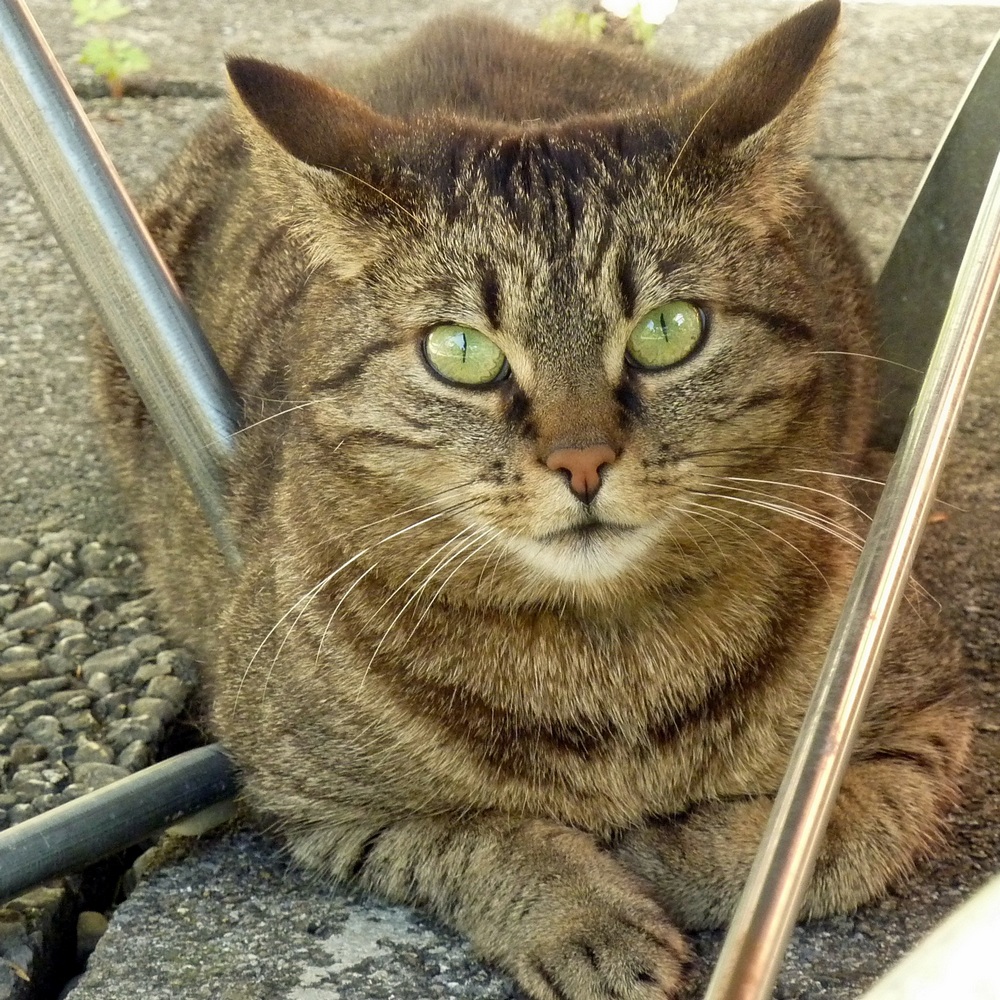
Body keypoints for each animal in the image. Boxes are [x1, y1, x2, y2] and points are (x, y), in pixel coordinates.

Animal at [94, 3, 968, 996]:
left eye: (670, 330)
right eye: (461, 352)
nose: (582, 461)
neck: (610, 664)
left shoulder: (930, 718)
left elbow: (844, 835)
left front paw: (670, 854)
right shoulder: (305, 799)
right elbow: (474, 839)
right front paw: (585, 913)